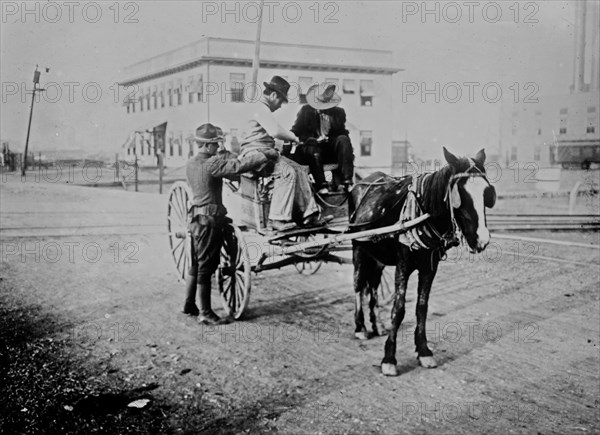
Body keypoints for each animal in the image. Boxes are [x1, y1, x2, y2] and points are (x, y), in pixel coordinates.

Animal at [350, 148, 494, 376]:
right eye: (459, 194)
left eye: (487, 193)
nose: (482, 239)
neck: (421, 215)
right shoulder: (402, 265)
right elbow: (399, 309)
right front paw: (389, 358)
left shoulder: (429, 268)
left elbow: (422, 307)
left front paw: (424, 351)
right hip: (358, 248)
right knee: (357, 285)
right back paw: (360, 327)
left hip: (377, 255)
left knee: (372, 286)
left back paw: (377, 324)